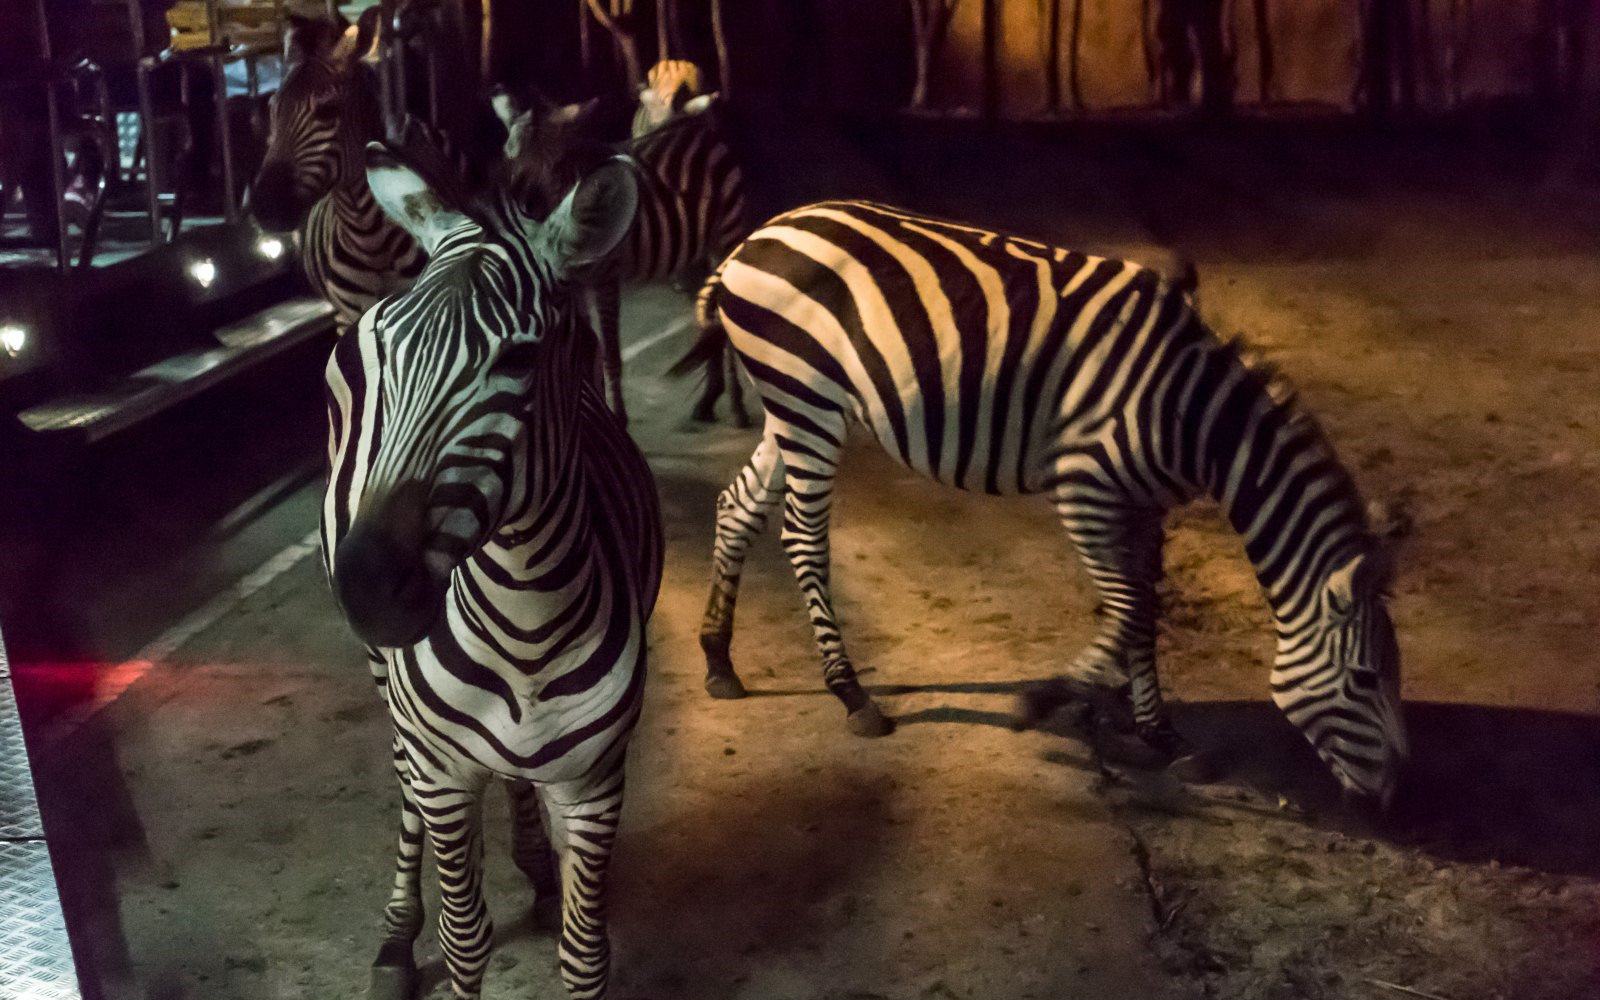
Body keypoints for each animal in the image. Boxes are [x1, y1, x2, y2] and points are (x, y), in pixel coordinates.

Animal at [324, 134, 662, 998]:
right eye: (379, 351)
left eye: (520, 358)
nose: (370, 590)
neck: (523, 627)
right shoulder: (444, 772)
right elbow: (465, 936)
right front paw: (427, 936)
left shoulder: (598, 782)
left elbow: (586, 953)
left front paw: (556, 887)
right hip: (392, 701)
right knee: (404, 786)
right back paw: (396, 935)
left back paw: (537, 870)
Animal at [499, 85, 748, 425]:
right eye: (509, 161)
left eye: (558, 165)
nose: (532, 228)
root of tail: (691, 123)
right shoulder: (573, 287)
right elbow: (582, 351)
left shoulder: (605, 277)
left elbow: (610, 353)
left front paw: (616, 416)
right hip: (693, 258)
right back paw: (709, 400)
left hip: (725, 236)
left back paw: (737, 407)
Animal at [681, 199, 1408, 806]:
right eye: (1365, 680)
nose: (1394, 803)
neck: (1194, 417)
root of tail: (752, 241)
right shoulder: (1087, 491)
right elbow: (1127, 610)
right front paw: (1042, 702)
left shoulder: (1146, 506)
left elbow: (1146, 610)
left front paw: (1162, 734)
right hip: (808, 399)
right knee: (803, 538)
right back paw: (851, 693)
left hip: (791, 407)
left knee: (737, 506)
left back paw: (719, 661)